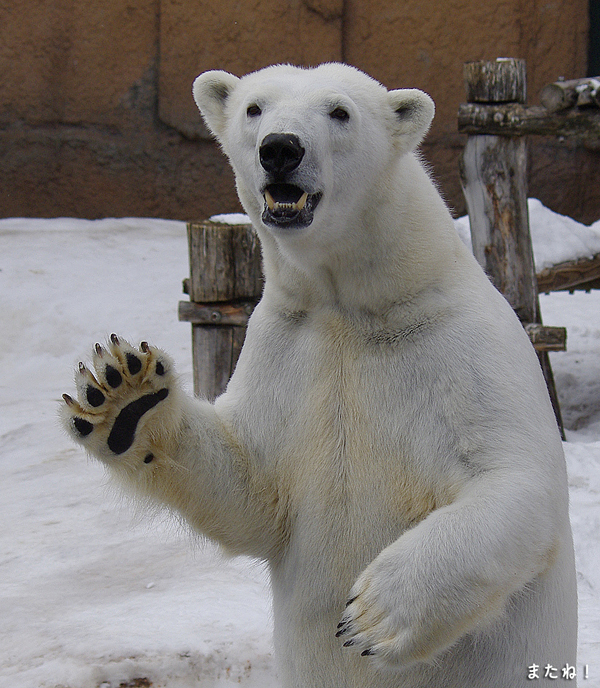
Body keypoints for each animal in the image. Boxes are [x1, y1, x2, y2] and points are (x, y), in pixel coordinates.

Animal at [61, 61, 576, 684]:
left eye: (339, 111)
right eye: (255, 108)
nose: (280, 148)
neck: (353, 301)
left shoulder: (462, 347)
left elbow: (515, 476)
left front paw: (374, 614)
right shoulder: (287, 345)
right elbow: (250, 488)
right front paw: (125, 396)